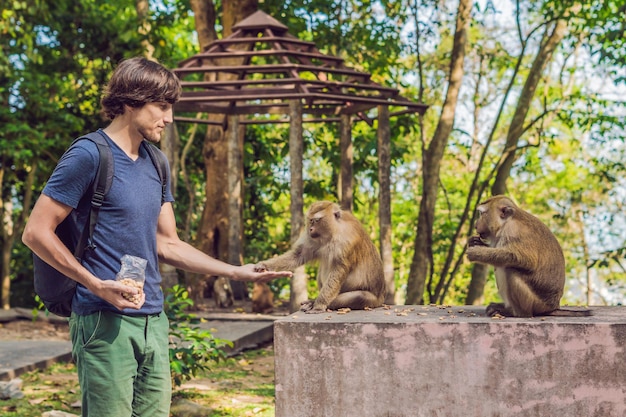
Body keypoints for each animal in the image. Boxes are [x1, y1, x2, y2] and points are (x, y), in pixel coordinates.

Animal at [254, 201, 386, 312]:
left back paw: (317, 303)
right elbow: (299, 255)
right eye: (310, 221)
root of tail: (381, 298)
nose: (311, 229)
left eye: (316, 220)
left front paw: (319, 305)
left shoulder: (347, 242)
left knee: (360, 297)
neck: (334, 232)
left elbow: (338, 271)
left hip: (372, 301)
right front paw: (264, 265)